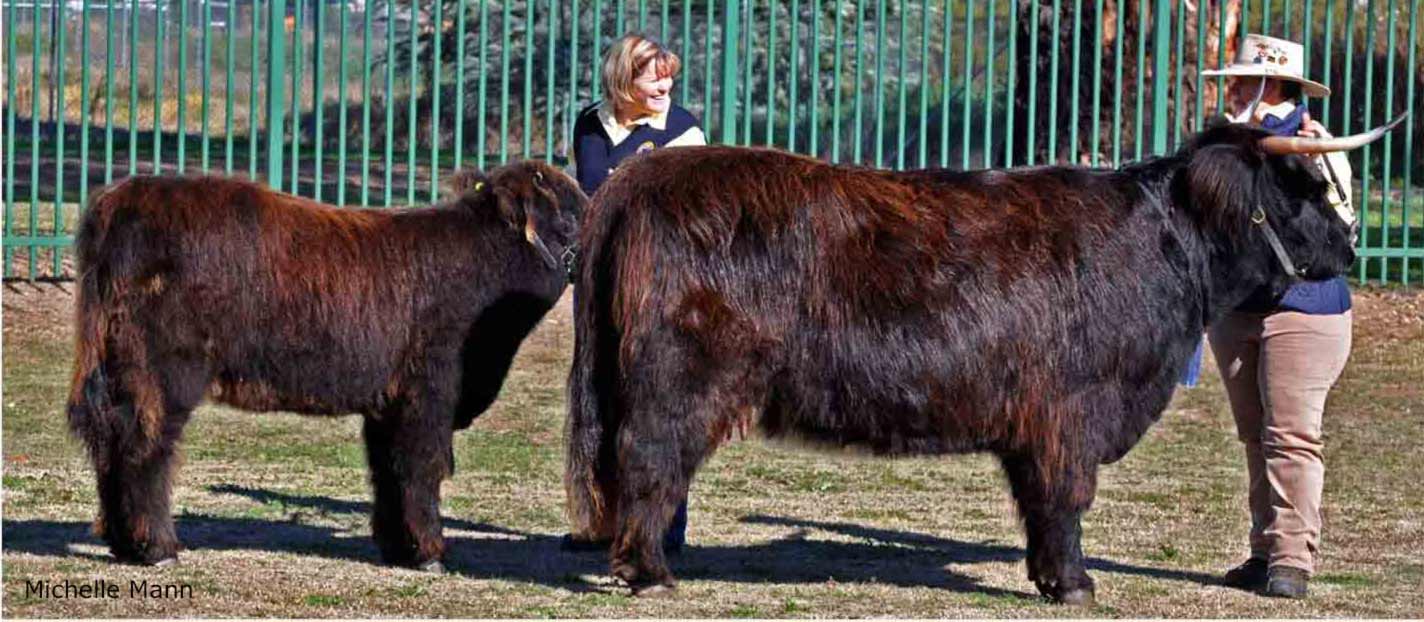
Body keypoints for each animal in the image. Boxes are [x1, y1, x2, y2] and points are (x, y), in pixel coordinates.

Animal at [67, 158, 583, 566]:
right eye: (574, 213)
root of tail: (126, 197)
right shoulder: (428, 395)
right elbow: (422, 467)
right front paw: (429, 552)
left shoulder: (388, 404)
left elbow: (389, 472)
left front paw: (398, 547)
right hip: (161, 378)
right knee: (146, 450)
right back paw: (156, 549)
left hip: (118, 373)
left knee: (111, 445)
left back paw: (121, 543)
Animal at [558, 120, 1401, 600]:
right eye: (1301, 186)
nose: (1350, 245)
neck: (1167, 248)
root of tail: (637, 180)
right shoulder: (1072, 412)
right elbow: (1067, 499)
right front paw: (1076, 585)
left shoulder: (1034, 423)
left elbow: (1040, 502)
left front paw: (1050, 576)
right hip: (677, 384)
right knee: (648, 461)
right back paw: (649, 573)